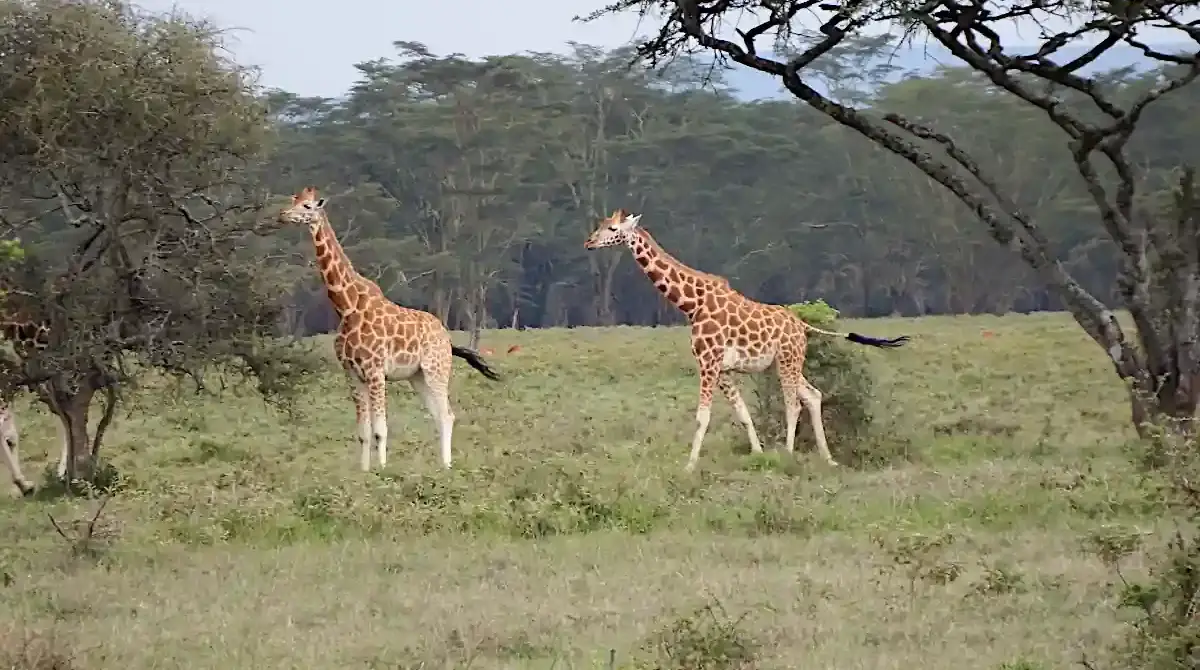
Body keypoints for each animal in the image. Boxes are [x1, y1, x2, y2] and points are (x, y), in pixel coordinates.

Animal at [277, 187, 502, 470]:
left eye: (307, 206)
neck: (347, 307)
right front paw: (364, 472)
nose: (283, 215)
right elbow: (363, 432)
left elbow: (380, 430)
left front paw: (383, 471)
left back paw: (447, 468)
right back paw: (442, 467)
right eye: (293, 200)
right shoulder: (352, 374)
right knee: (438, 415)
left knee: (447, 414)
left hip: (436, 370)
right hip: (418, 377)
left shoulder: (375, 372)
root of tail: (447, 338)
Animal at [584, 209, 910, 471]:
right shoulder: (723, 369)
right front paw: (758, 454)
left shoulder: (708, 362)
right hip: (788, 361)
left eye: (612, 228)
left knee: (794, 403)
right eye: (601, 225)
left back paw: (788, 454)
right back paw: (827, 458)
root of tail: (801, 324)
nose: (588, 243)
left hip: (788, 359)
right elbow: (743, 413)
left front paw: (689, 466)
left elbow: (702, 416)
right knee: (813, 395)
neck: (692, 304)